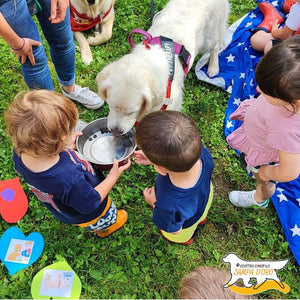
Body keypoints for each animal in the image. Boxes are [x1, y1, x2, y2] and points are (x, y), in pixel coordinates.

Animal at [96, 0, 230, 132]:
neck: (148, 60)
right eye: (111, 106)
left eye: (132, 112)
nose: (116, 131)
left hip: (209, 38)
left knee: (215, 48)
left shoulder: (171, 102)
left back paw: (213, 67)